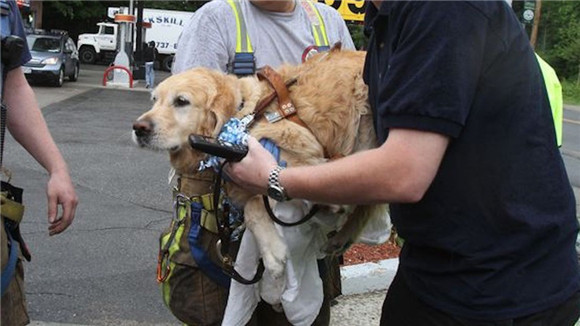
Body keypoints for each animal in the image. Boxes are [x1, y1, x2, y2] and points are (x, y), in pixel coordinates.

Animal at [130, 47, 386, 280]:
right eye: (154, 100)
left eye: (181, 101)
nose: (138, 128)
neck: (244, 113)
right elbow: (252, 204)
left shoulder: (303, 158)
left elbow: (256, 202)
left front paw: (273, 253)